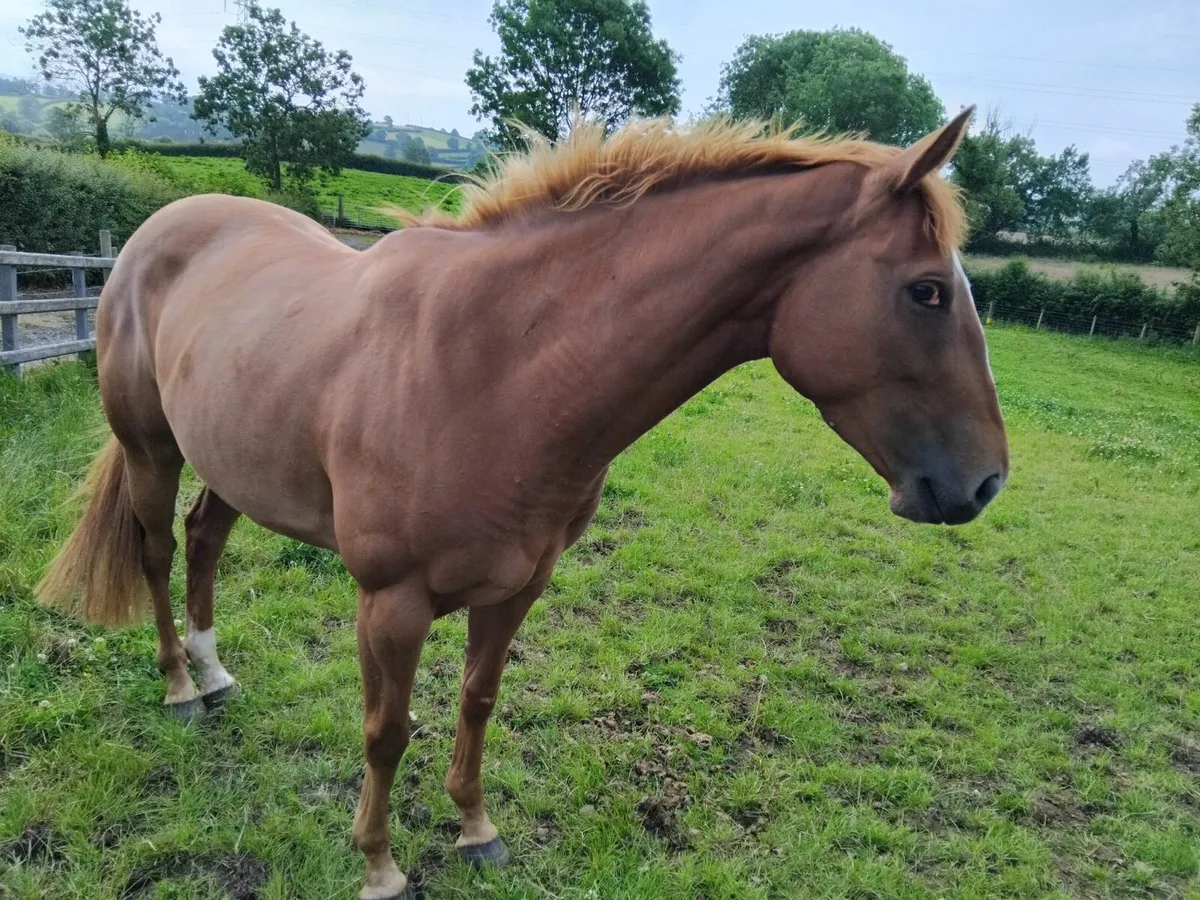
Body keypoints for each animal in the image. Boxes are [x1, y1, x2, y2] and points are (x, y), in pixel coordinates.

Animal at [38, 107, 1007, 900]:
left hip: (233, 461)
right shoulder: (390, 603)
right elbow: (385, 731)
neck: (494, 367)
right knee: (158, 551)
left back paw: (213, 673)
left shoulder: (518, 586)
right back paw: (179, 689)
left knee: (204, 538)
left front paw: (475, 829)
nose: (986, 482)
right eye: (927, 290)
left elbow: (477, 698)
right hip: (151, 449)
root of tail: (155, 229)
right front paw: (381, 866)